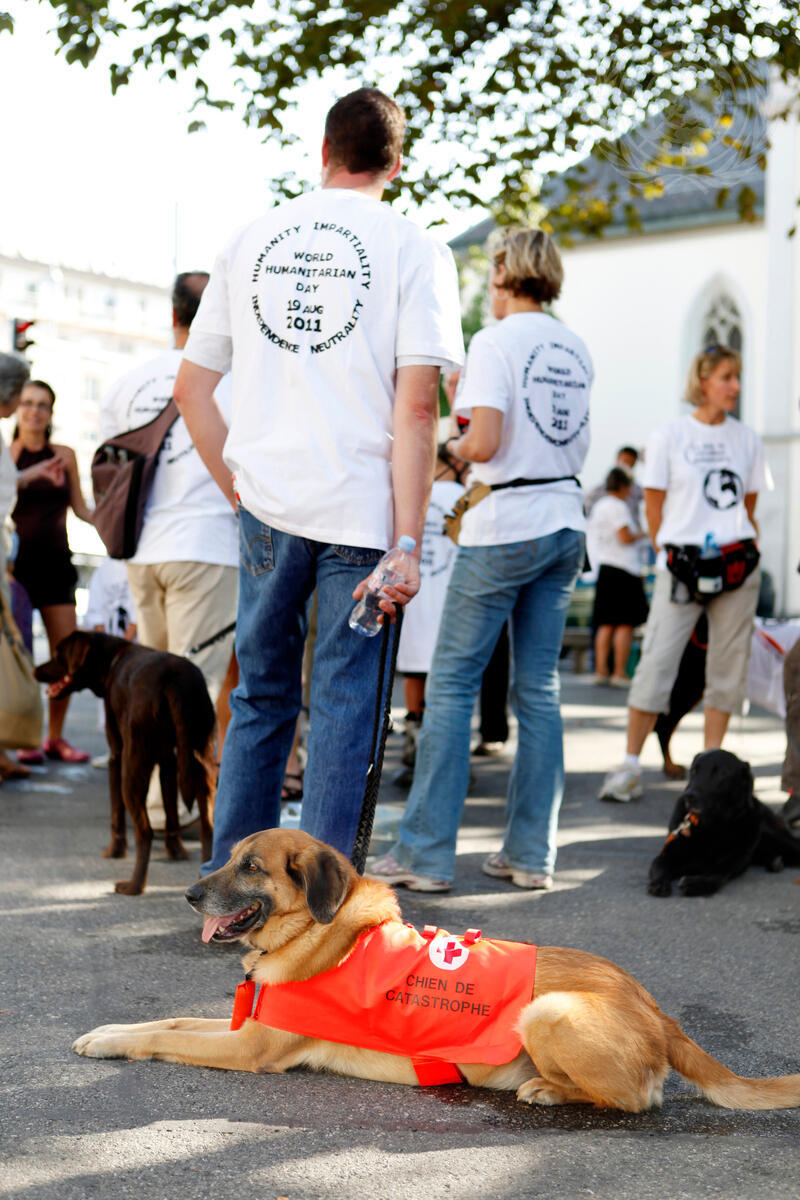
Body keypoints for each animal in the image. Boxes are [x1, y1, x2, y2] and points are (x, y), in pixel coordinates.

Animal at [35, 631, 216, 895]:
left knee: (145, 832)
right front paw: (176, 852)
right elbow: (170, 809)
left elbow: (116, 814)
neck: (114, 658)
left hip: (132, 769)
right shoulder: (168, 759)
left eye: (58, 654)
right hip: (201, 763)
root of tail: (173, 679)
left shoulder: (116, 756)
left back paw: (133, 885)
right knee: (208, 828)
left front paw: (114, 851)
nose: (35, 670)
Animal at [72, 827, 800, 1111]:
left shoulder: (251, 1047)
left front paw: (112, 1044)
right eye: (225, 856)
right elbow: (167, 1019)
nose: (190, 896)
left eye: (251, 867)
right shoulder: (242, 1023)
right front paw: (103, 1031)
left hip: (548, 1012)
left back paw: (546, 1089)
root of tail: (657, 1011)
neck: (316, 930)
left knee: (632, 1099)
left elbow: (160, 1036)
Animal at [648, 748, 800, 898]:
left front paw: (695, 883)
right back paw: (775, 861)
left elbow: (715, 876)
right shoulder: (671, 853)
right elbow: (658, 865)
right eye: (694, 771)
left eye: (721, 773)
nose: (689, 796)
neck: (712, 826)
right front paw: (659, 883)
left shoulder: (729, 864)